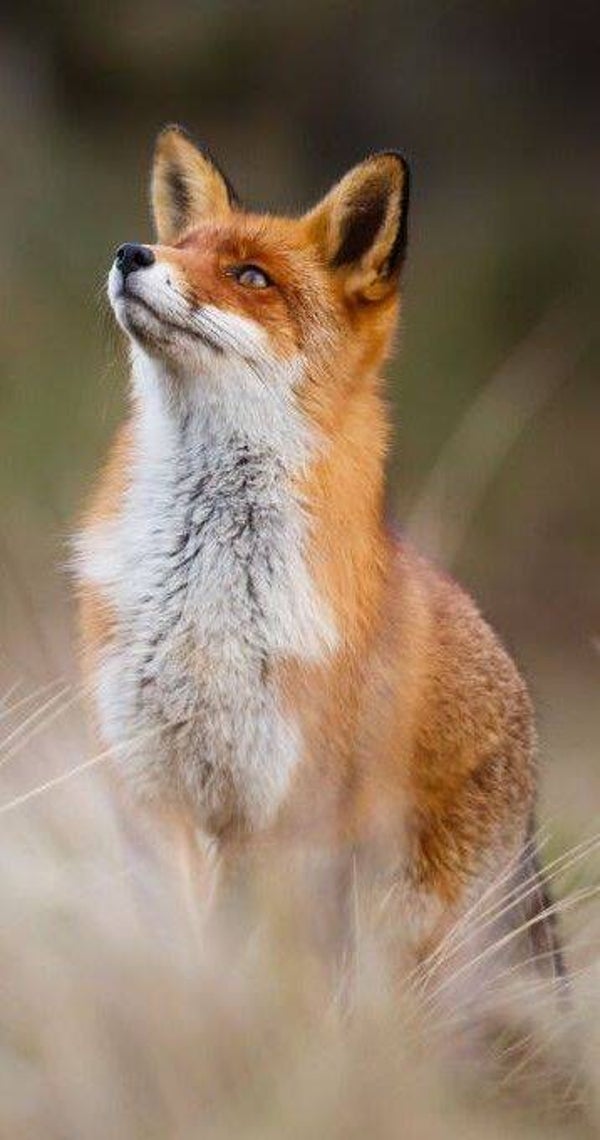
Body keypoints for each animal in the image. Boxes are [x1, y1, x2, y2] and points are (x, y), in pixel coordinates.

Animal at [75, 125, 564, 1020]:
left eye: (250, 276)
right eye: (181, 246)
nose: (132, 252)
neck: (201, 602)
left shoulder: (274, 814)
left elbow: (240, 958)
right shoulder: (151, 793)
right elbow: (176, 941)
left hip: (407, 934)